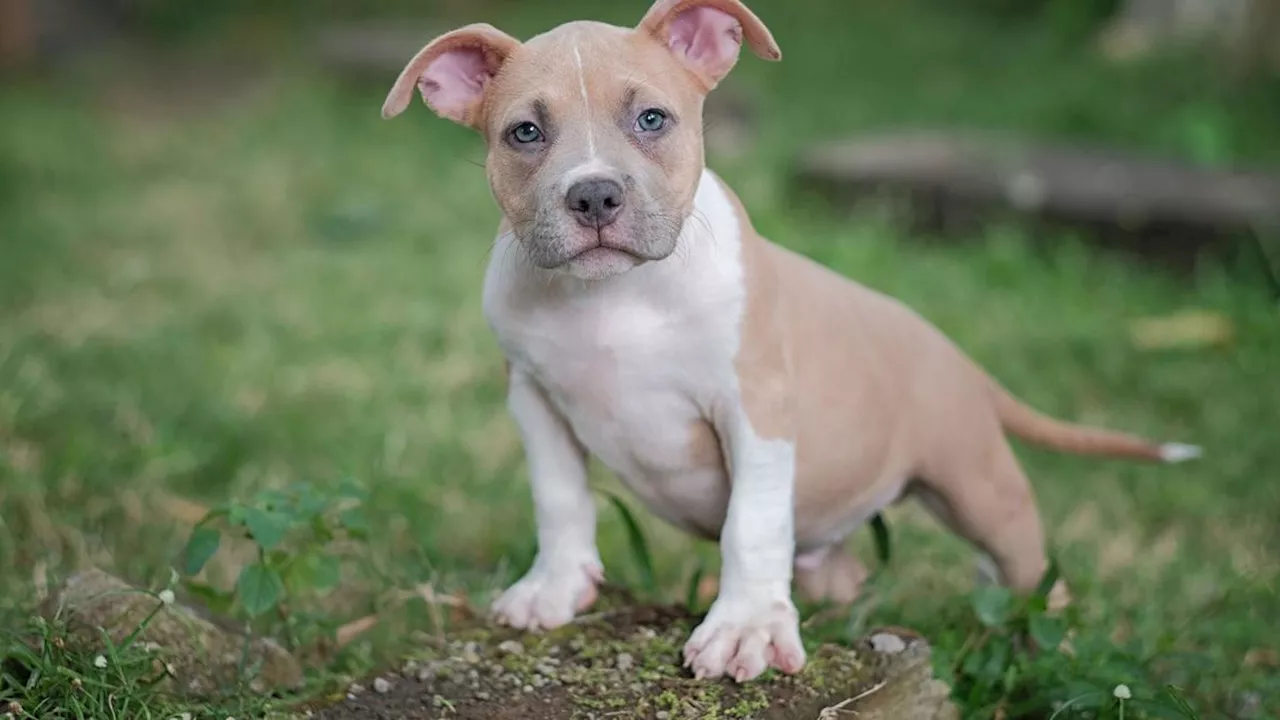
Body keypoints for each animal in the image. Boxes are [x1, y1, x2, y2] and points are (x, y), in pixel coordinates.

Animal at [381, 0, 1198, 681]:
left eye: (652, 120)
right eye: (525, 132)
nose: (594, 194)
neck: (614, 298)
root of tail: (957, 357)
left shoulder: (756, 408)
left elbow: (751, 523)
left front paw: (743, 628)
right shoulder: (535, 396)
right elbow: (558, 497)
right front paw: (553, 588)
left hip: (983, 492)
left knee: (1032, 579)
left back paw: (1048, 652)